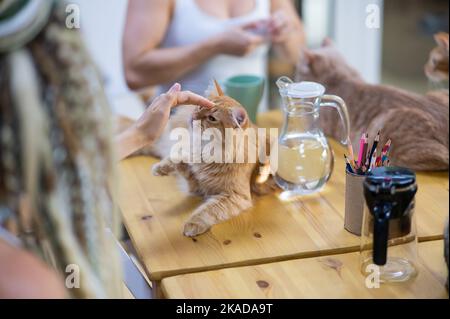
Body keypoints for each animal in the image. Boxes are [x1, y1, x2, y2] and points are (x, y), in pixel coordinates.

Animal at [124, 82, 278, 238]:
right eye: (199, 107)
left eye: (212, 118)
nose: (193, 116)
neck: (209, 152)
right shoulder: (191, 166)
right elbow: (178, 157)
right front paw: (160, 168)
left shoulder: (232, 195)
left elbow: (208, 210)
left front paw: (193, 224)